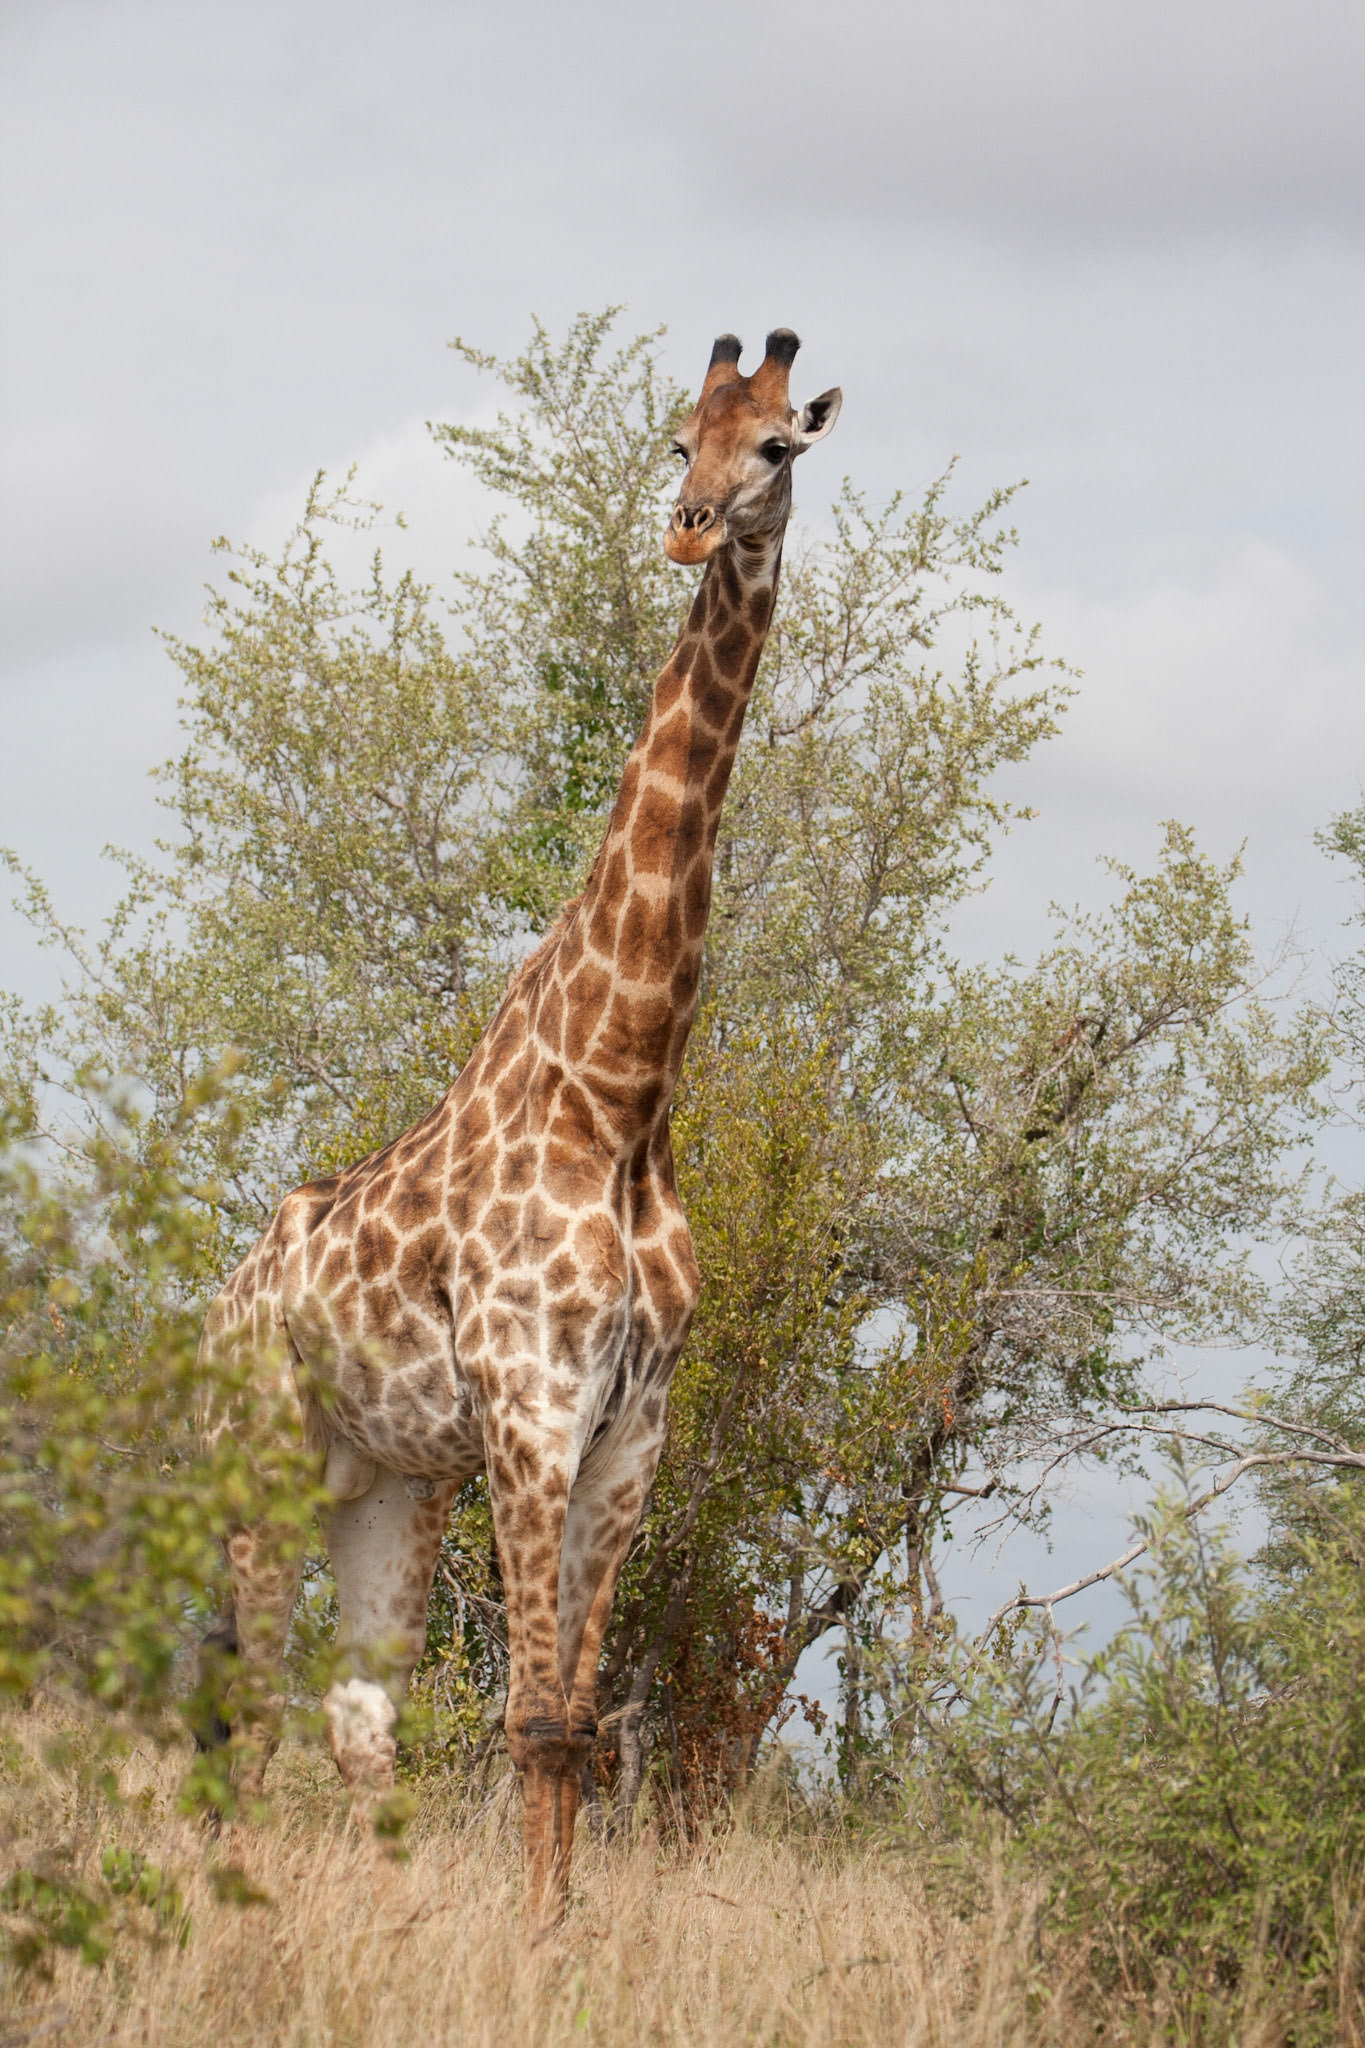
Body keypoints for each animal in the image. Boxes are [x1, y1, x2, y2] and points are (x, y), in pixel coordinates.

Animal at [198, 326, 841, 1923]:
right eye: (677, 437)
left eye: (777, 447)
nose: (690, 526)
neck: (621, 1094)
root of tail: (215, 1307)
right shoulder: (532, 1400)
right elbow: (536, 1715)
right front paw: (538, 1945)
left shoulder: (631, 1428)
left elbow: (576, 1724)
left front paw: (557, 1939)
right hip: (258, 1461)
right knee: (245, 1701)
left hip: (382, 1484)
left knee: (357, 1721)